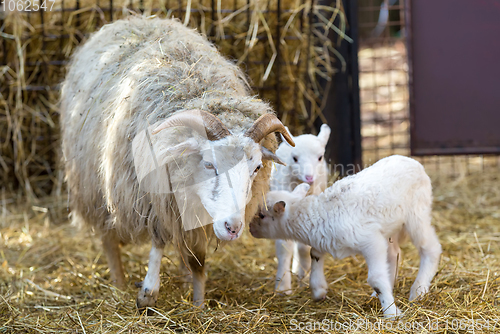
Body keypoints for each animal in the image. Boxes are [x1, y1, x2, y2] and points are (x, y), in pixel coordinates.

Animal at [59, 16, 294, 310]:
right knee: (109, 237)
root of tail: (133, 18)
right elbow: (158, 242)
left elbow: (199, 260)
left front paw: (198, 302)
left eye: (257, 168)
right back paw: (118, 282)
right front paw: (148, 291)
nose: (232, 228)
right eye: (209, 165)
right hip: (94, 187)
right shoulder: (153, 198)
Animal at [250, 155, 442, 318]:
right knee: (393, 254)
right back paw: (380, 292)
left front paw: (391, 313)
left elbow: (375, 278)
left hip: (417, 213)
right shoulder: (324, 239)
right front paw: (318, 290)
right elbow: (314, 254)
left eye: (262, 215)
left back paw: (418, 290)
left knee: (430, 248)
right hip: (390, 226)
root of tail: (413, 162)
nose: (250, 229)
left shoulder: (371, 241)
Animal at [270, 123, 332, 292]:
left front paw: (303, 276)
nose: (309, 178)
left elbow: (304, 247)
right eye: (295, 158)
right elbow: (284, 247)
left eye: (320, 157)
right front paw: (283, 287)